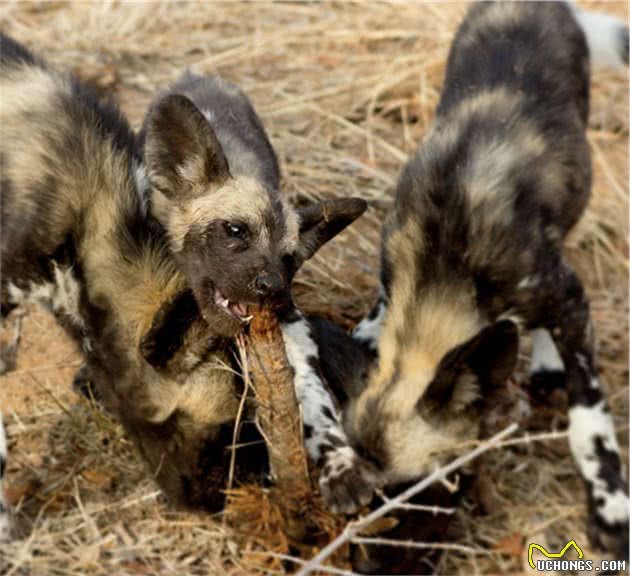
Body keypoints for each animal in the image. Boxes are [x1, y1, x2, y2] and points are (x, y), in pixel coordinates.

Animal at [137, 73, 380, 512]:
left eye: (289, 259)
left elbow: (313, 398)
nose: (272, 288)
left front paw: (340, 465)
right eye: (235, 231)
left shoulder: (289, 325)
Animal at [348, 1, 628, 560]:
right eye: (367, 497)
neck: (444, 266)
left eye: (416, 492)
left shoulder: (565, 297)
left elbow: (589, 421)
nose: (367, 563)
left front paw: (609, 507)